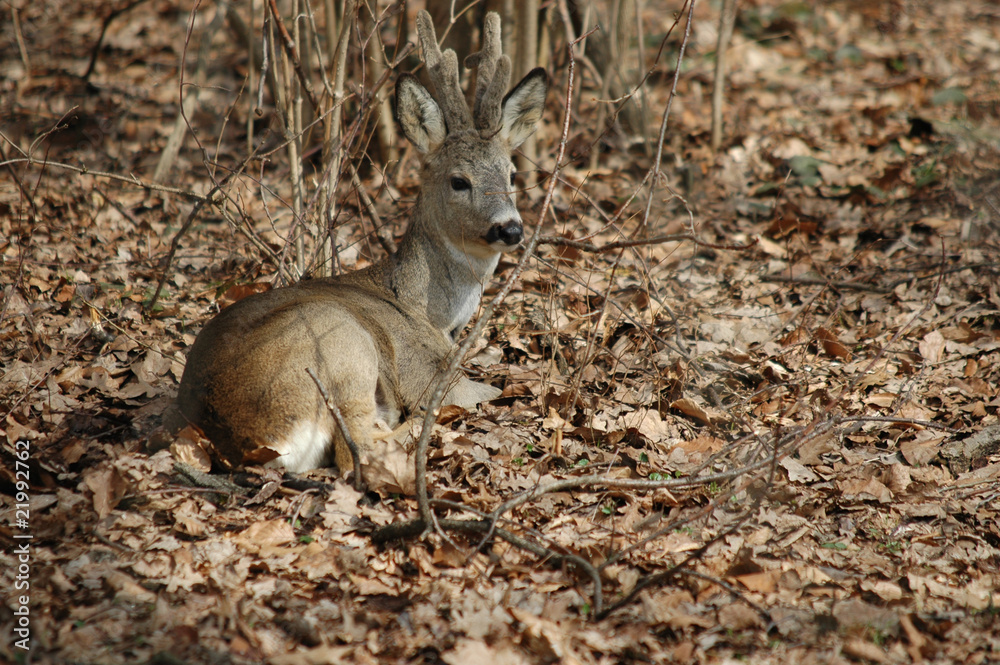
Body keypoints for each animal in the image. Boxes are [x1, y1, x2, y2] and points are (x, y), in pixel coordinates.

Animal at [168, 10, 548, 477]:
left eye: (512, 174)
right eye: (459, 181)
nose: (509, 229)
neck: (434, 312)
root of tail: (245, 441)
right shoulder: (427, 373)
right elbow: (482, 394)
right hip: (341, 341)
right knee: (358, 449)